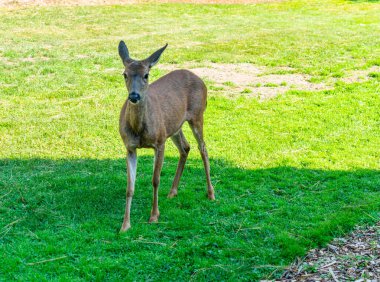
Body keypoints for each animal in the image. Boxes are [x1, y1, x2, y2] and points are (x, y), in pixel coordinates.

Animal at [117, 41, 215, 231]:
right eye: (125, 74)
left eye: (146, 75)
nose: (134, 96)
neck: (139, 130)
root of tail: (200, 79)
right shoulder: (129, 147)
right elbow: (129, 187)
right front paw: (125, 225)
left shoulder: (159, 142)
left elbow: (155, 179)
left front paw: (154, 216)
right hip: (174, 126)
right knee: (185, 147)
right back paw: (172, 191)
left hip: (197, 115)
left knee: (203, 149)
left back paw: (211, 193)